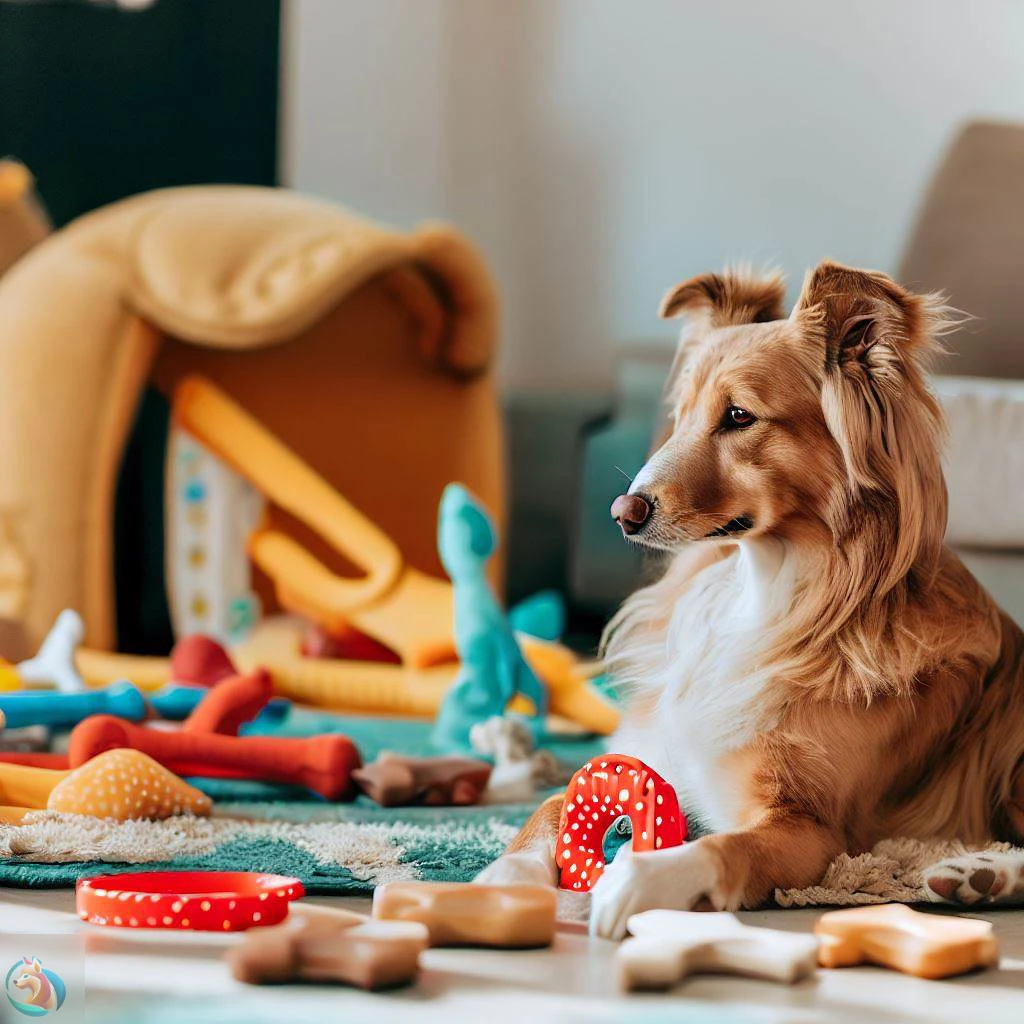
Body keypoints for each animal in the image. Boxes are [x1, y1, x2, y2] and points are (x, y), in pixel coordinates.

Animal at [477, 262, 1024, 937]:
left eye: (739, 416)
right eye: (681, 415)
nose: (622, 513)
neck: (756, 593)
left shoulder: (811, 828)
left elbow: (720, 847)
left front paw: (638, 879)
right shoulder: (653, 752)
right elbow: (551, 805)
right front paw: (506, 875)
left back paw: (986, 873)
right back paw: (974, 875)